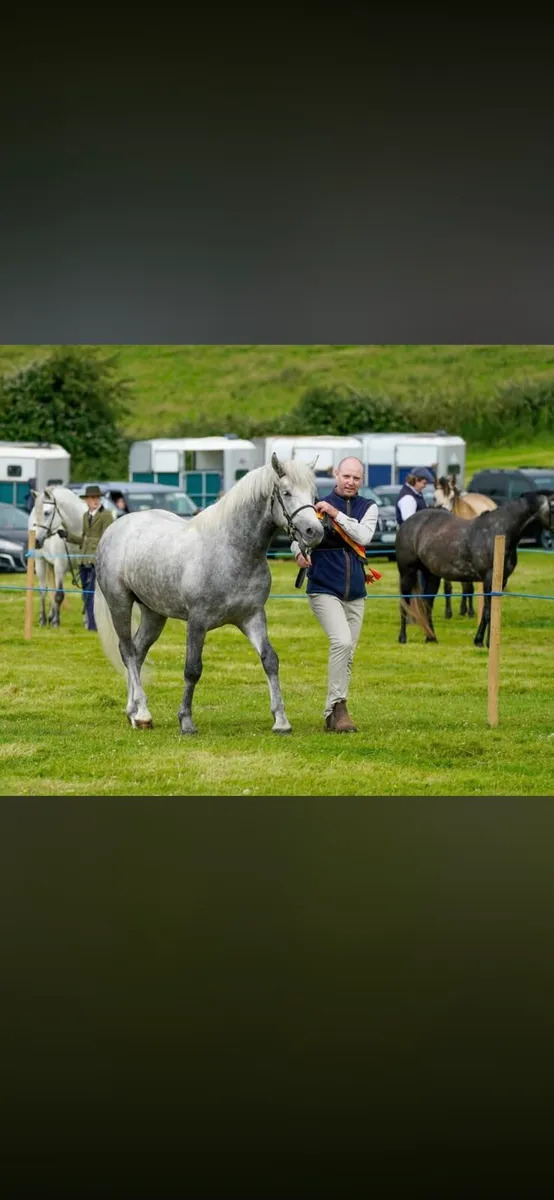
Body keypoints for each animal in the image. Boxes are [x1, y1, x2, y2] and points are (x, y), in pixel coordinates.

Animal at [31, 487, 88, 626]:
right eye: (37, 514)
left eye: (46, 513)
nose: (36, 541)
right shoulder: (60, 565)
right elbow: (59, 595)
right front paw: (56, 622)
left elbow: (86, 594)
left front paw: (87, 622)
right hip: (40, 562)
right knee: (43, 590)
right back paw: (43, 619)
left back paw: (51, 615)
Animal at [93, 454, 324, 734]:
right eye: (287, 493)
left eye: (313, 494)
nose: (315, 532)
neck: (230, 550)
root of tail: (115, 528)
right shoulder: (197, 621)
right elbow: (192, 669)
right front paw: (186, 721)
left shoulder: (252, 617)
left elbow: (270, 660)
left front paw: (281, 720)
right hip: (120, 604)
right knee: (127, 650)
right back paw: (143, 713)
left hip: (154, 613)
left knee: (137, 652)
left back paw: (133, 712)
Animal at [396, 490, 554, 648]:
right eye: (553, 506)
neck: (498, 532)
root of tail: (407, 523)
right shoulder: (489, 579)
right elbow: (489, 611)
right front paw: (486, 643)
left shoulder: (501, 580)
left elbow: (488, 610)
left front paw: (481, 641)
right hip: (407, 573)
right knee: (405, 604)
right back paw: (403, 638)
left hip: (432, 575)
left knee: (427, 604)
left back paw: (431, 638)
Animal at [434, 475, 497, 619]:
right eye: (435, 497)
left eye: (452, 497)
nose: (441, 510)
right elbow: (448, 587)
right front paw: (448, 612)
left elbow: (469, 587)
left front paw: (471, 612)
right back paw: (462, 609)